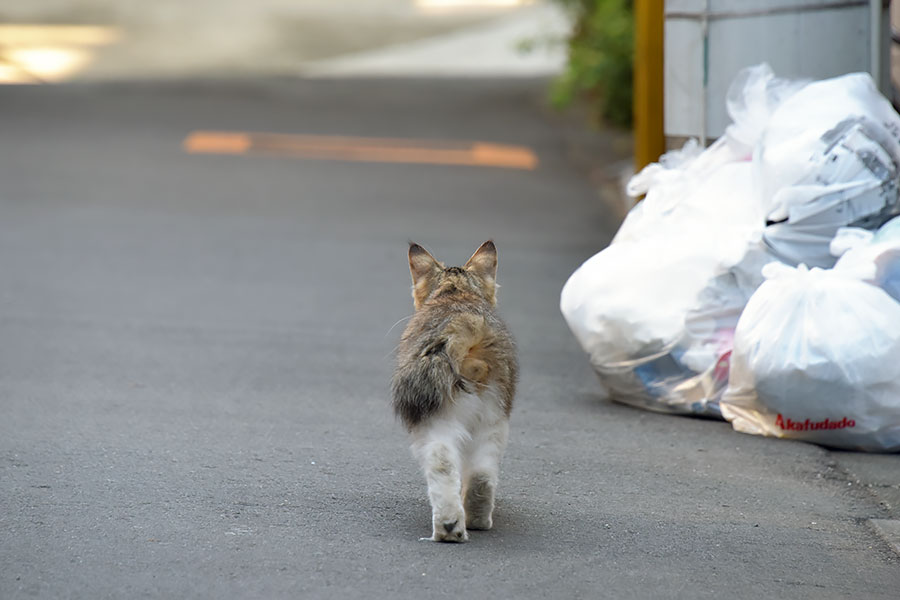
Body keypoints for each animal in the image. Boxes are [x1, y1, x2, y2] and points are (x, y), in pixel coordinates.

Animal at [390, 241, 516, 540]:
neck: (455, 293)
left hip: (435, 421)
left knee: (442, 464)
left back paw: (448, 528)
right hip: (494, 418)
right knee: (482, 474)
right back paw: (477, 519)